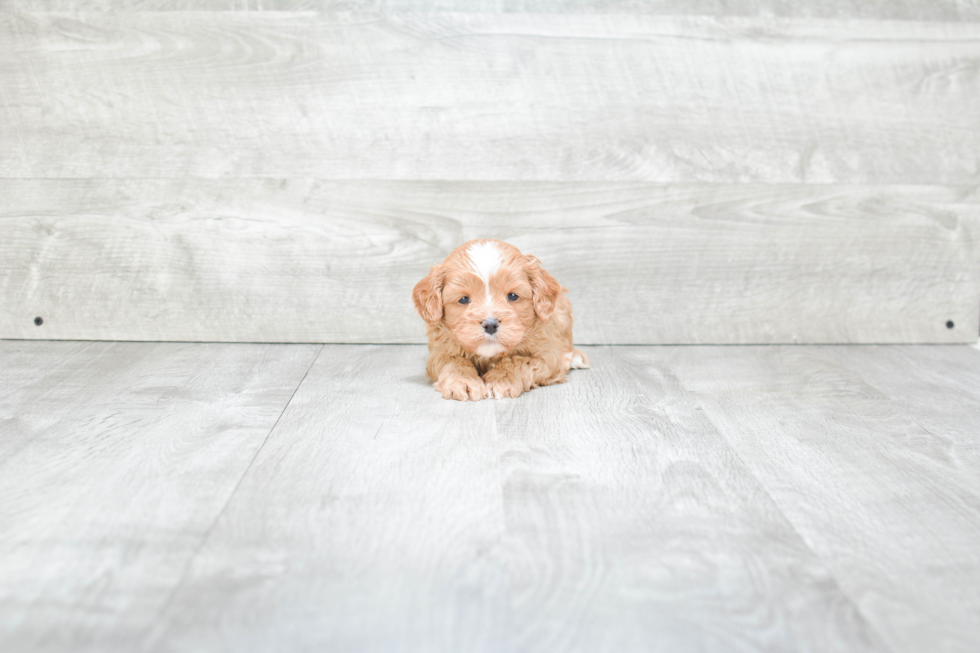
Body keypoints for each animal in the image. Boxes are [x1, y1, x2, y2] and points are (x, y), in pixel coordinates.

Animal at [412, 239, 588, 400]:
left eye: (512, 296)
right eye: (463, 299)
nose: (490, 325)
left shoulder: (548, 356)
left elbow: (518, 361)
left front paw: (501, 381)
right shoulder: (439, 352)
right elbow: (453, 361)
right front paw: (463, 381)